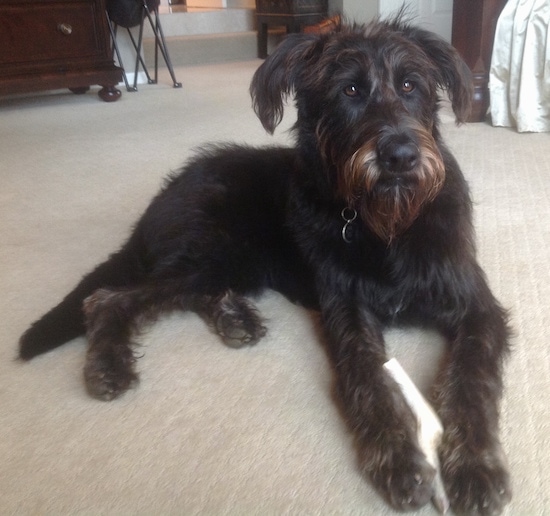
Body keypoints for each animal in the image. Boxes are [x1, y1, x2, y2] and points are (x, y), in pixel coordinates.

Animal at [20, 16, 512, 516]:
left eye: (411, 85)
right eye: (350, 89)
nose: (399, 156)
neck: (388, 225)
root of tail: (162, 196)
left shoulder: (477, 308)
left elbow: (470, 379)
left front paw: (474, 468)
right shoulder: (347, 311)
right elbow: (368, 377)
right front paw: (397, 458)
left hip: (232, 264)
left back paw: (233, 318)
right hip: (218, 251)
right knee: (109, 298)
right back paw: (109, 364)